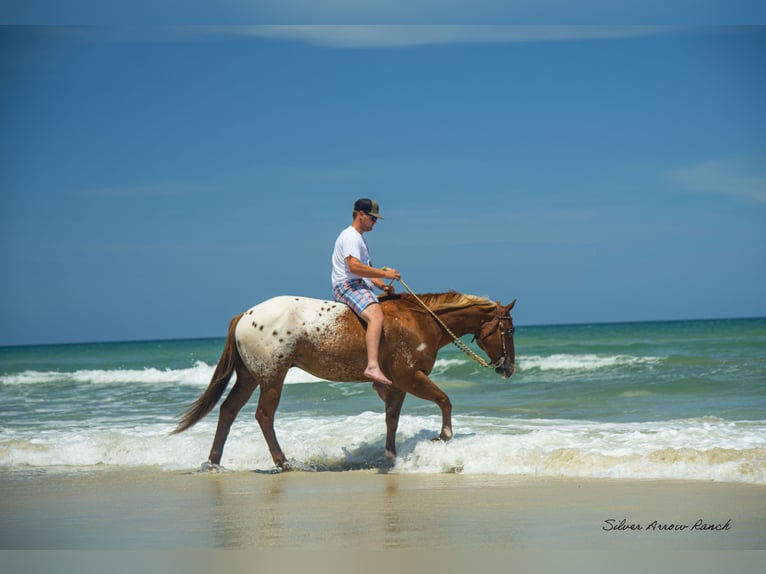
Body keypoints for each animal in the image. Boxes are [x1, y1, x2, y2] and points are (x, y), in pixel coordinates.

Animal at [172, 290, 520, 470]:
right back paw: (283, 462)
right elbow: (445, 400)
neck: (420, 321)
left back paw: (215, 462)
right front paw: (444, 436)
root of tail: (244, 315)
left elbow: (391, 419)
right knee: (264, 416)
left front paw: (391, 456)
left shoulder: (397, 384)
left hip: (249, 377)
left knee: (228, 411)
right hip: (272, 377)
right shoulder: (410, 377)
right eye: (510, 330)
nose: (509, 369)